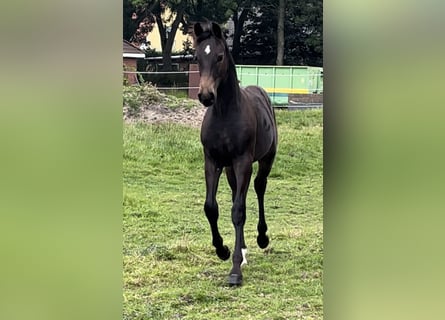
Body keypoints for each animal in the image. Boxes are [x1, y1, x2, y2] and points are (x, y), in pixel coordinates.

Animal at [194, 23, 278, 288]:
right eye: (196, 57)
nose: (206, 95)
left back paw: (261, 238)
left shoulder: (243, 162)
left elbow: (239, 210)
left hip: (265, 159)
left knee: (259, 187)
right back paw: (241, 250)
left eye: (220, 56)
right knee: (234, 194)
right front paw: (223, 250)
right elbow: (211, 207)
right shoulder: (212, 162)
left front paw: (235, 271)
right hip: (230, 168)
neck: (224, 114)